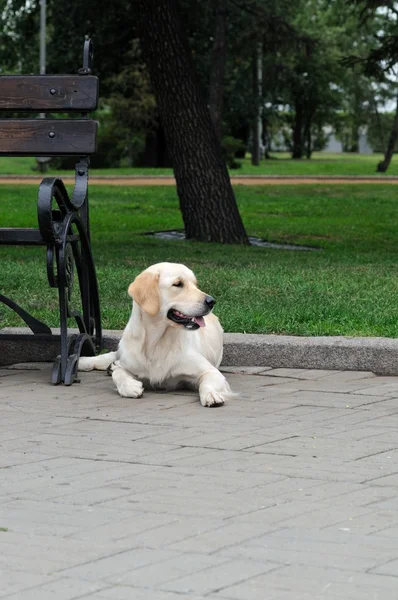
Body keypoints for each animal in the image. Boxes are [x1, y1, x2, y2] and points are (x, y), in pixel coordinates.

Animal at [77, 262, 233, 408]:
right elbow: (118, 373)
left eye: (195, 284)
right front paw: (130, 387)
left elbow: (207, 383)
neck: (157, 341)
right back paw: (84, 361)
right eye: (178, 284)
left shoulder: (210, 371)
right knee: (111, 356)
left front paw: (211, 395)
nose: (211, 301)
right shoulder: (129, 363)